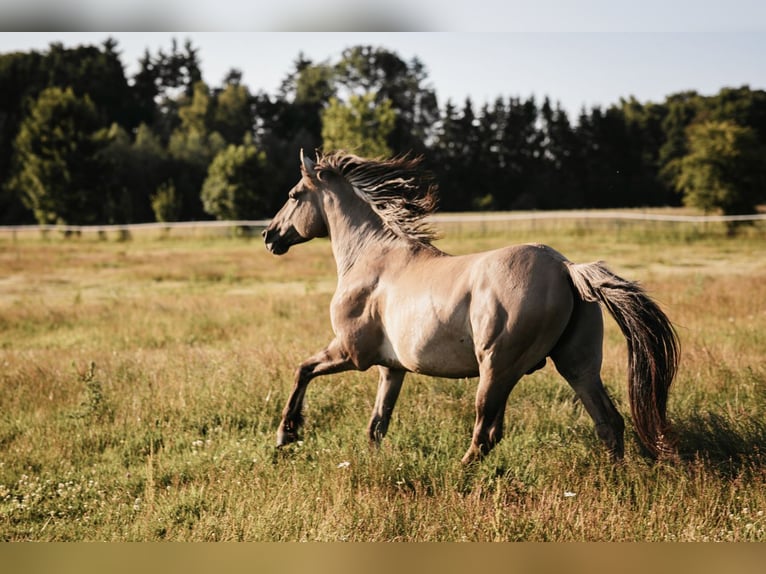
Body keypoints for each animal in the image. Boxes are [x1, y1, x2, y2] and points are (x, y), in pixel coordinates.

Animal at [262, 150, 680, 464]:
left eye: (294, 194)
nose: (269, 236)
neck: (371, 257)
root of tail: (566, 268)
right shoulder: (391, 368)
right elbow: (377, 424)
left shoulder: (351, 352)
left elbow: (302, 370)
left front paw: (286, 434)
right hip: (576, 365)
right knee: (609, 423)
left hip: (496, 368)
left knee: (486, 434)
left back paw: (458, 473)